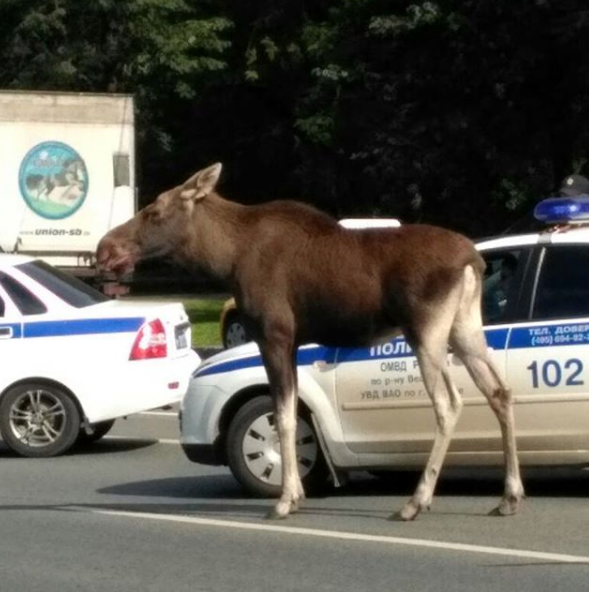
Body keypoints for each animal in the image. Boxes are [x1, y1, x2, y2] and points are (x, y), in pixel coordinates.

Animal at [96, 164, 524, 520]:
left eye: (153, 212)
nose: (105, 248)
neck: (225, 259)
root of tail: (473, 261)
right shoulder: (292, 342)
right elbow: (288, 413)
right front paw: (295, 493)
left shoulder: (275, 335)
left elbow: (283, 417)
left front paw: (286, 499)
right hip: (464, 329)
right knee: (499, 391)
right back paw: (509, 496)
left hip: (426, 329)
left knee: (449, 403)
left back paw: (416, 502)